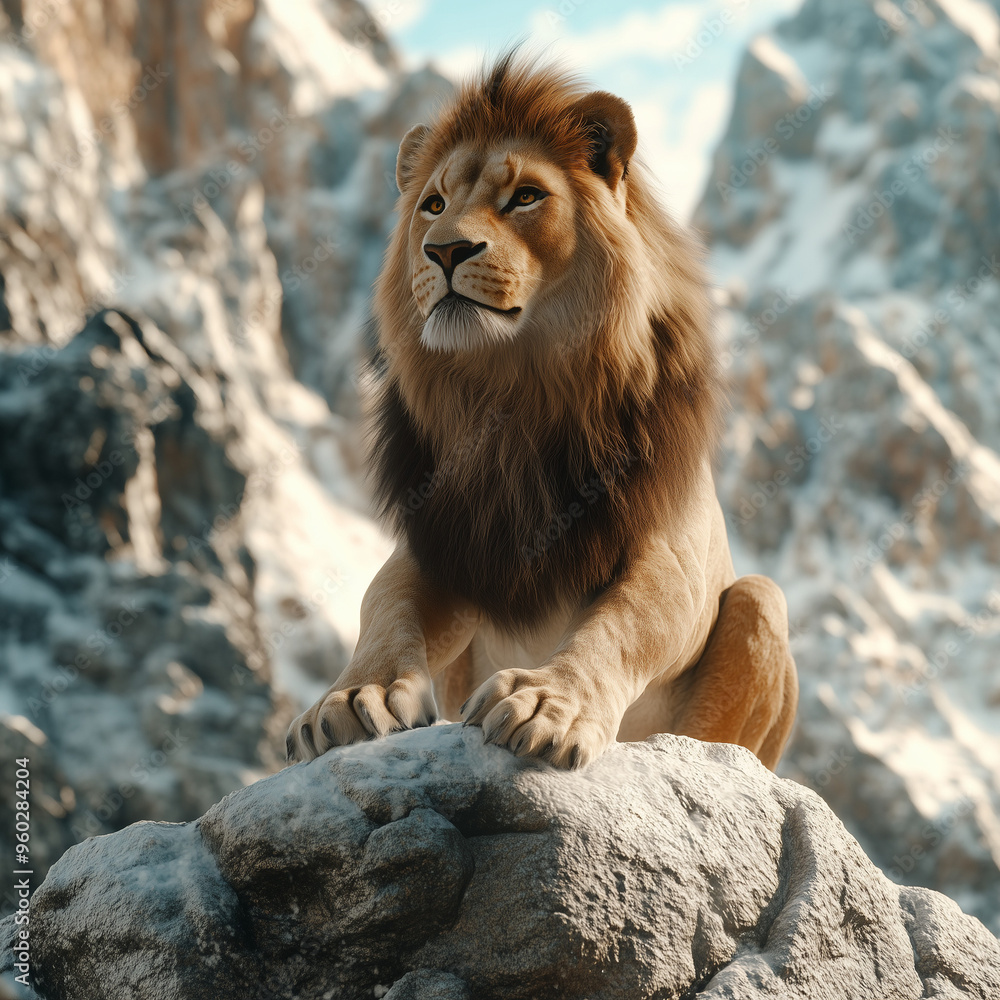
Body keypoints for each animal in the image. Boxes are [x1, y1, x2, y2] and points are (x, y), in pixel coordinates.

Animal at [286, 54, 798, 770]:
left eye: (525, 197)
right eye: (433, 205)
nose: (444, 250)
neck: (517, 396)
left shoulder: (671, 550)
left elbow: (621, 627)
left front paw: (547, 703)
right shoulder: (443, 541)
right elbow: (384, 605)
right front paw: (359, 696)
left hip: (759, 608)